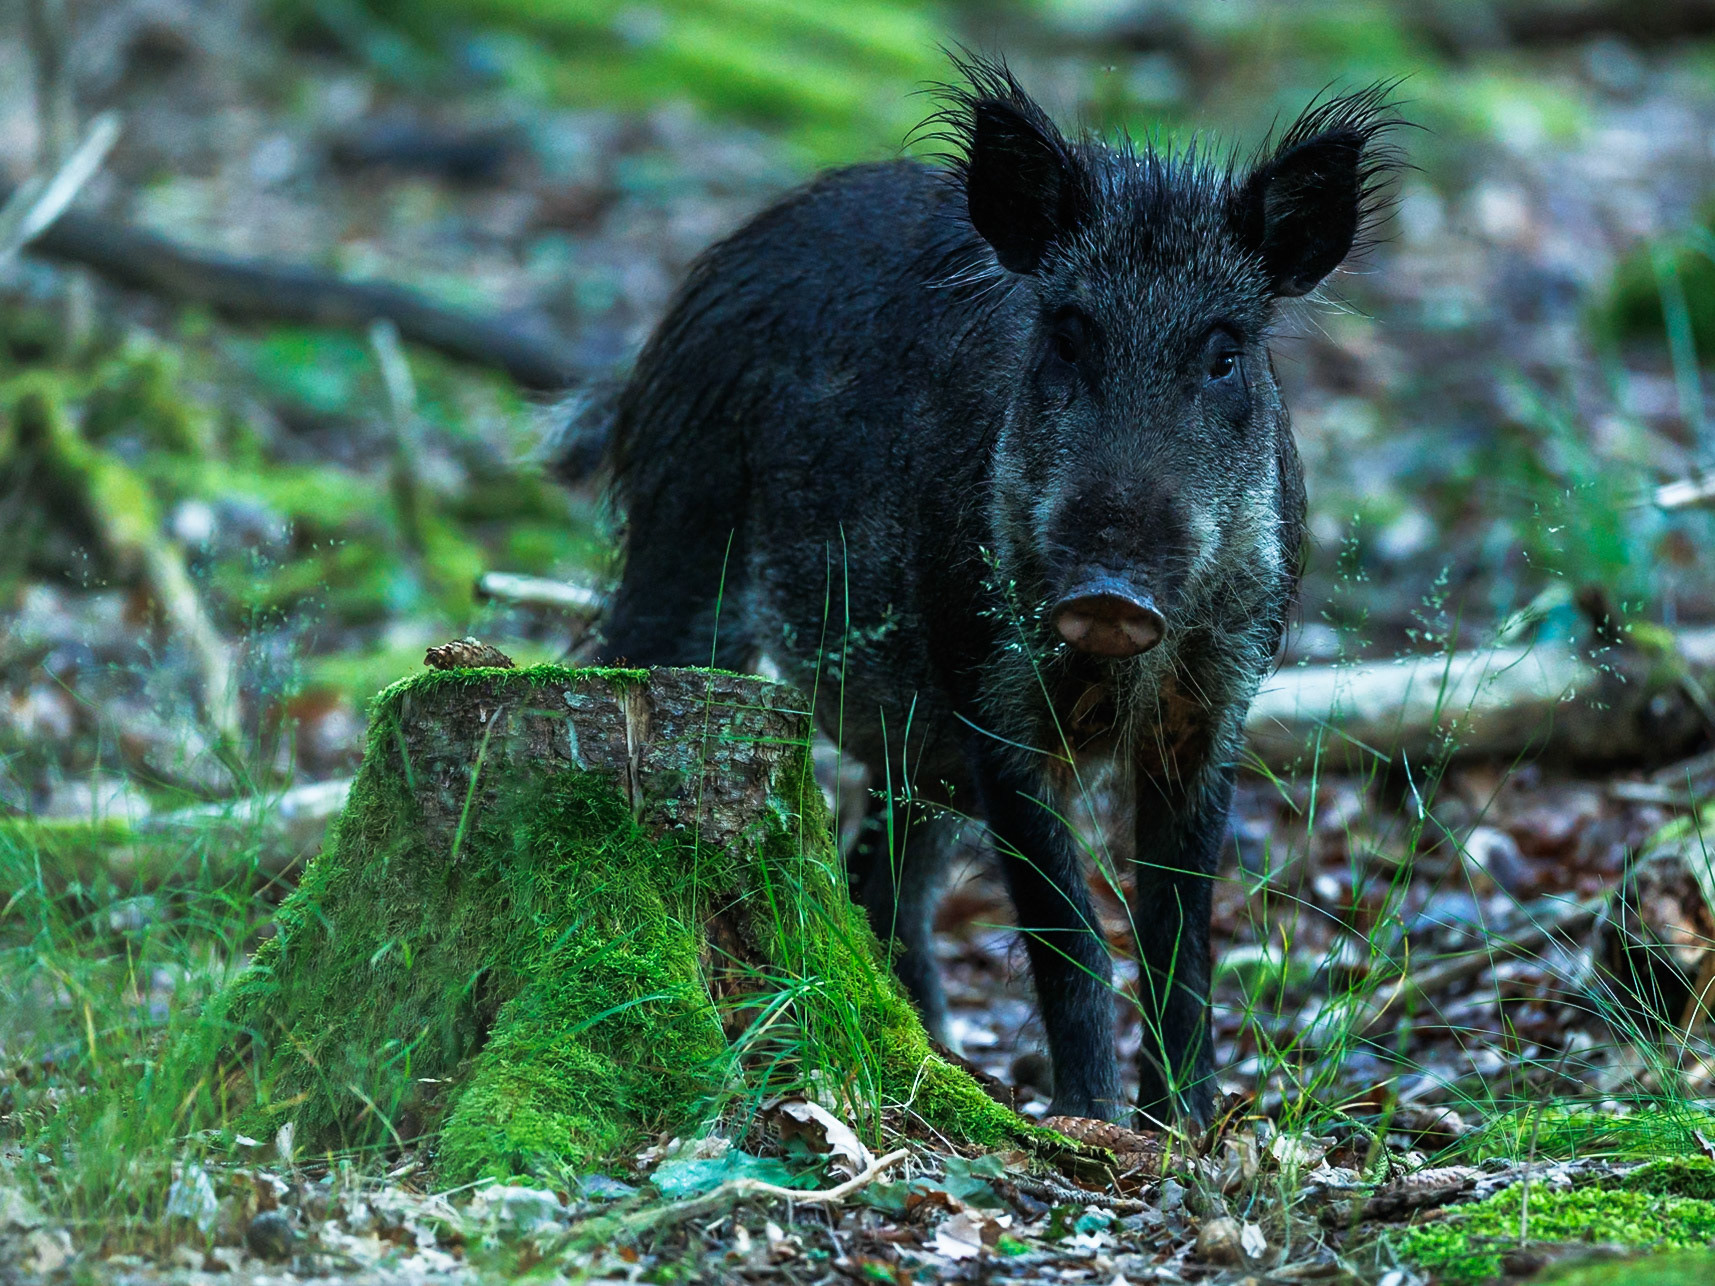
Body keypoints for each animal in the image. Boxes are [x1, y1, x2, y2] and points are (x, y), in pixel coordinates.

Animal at [550, 55, 1400, 1127]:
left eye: (1221, 352)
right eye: (1067, 336)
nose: (1110, 593)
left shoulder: (1215, 700)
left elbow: (1178, 933)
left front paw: (1186, 1127)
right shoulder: (988, 698)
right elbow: (1067, 935)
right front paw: (1095, 1125)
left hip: (913, 747)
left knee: (882, 885)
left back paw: (939, 1055)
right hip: (687, 541)